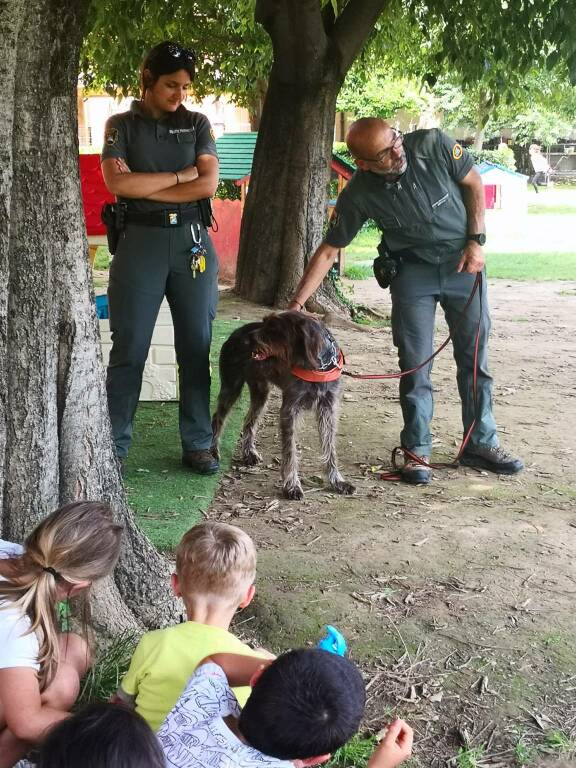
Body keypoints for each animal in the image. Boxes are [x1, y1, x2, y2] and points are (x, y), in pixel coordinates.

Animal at [212, 314, 356, 504]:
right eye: (264, 323)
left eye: (274, 329)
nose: (246, 340)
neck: (317, 368)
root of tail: (235, 333)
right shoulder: (290, 410)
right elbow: (290, 452)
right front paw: (292, 486)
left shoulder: (328, 409)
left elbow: (329, 447)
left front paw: (337, 481)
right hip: (231, 387)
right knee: (217, 418)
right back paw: (213, 451)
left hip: (260, 393)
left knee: (249, 420)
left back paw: (249, 453)